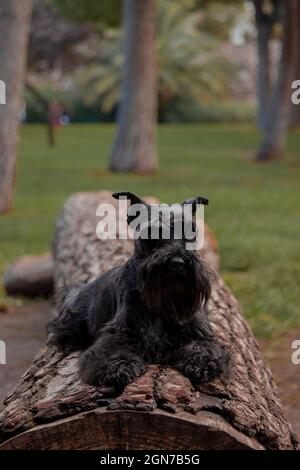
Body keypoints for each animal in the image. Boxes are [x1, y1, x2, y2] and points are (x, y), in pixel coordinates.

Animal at [48, 192, 229, 390]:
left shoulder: (198, 332)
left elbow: (202, 346)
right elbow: (113, 351)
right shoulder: (119, 333)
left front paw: (202, 362)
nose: (178, 263)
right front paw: (118, 367)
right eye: (151, 233)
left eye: (191, 232)